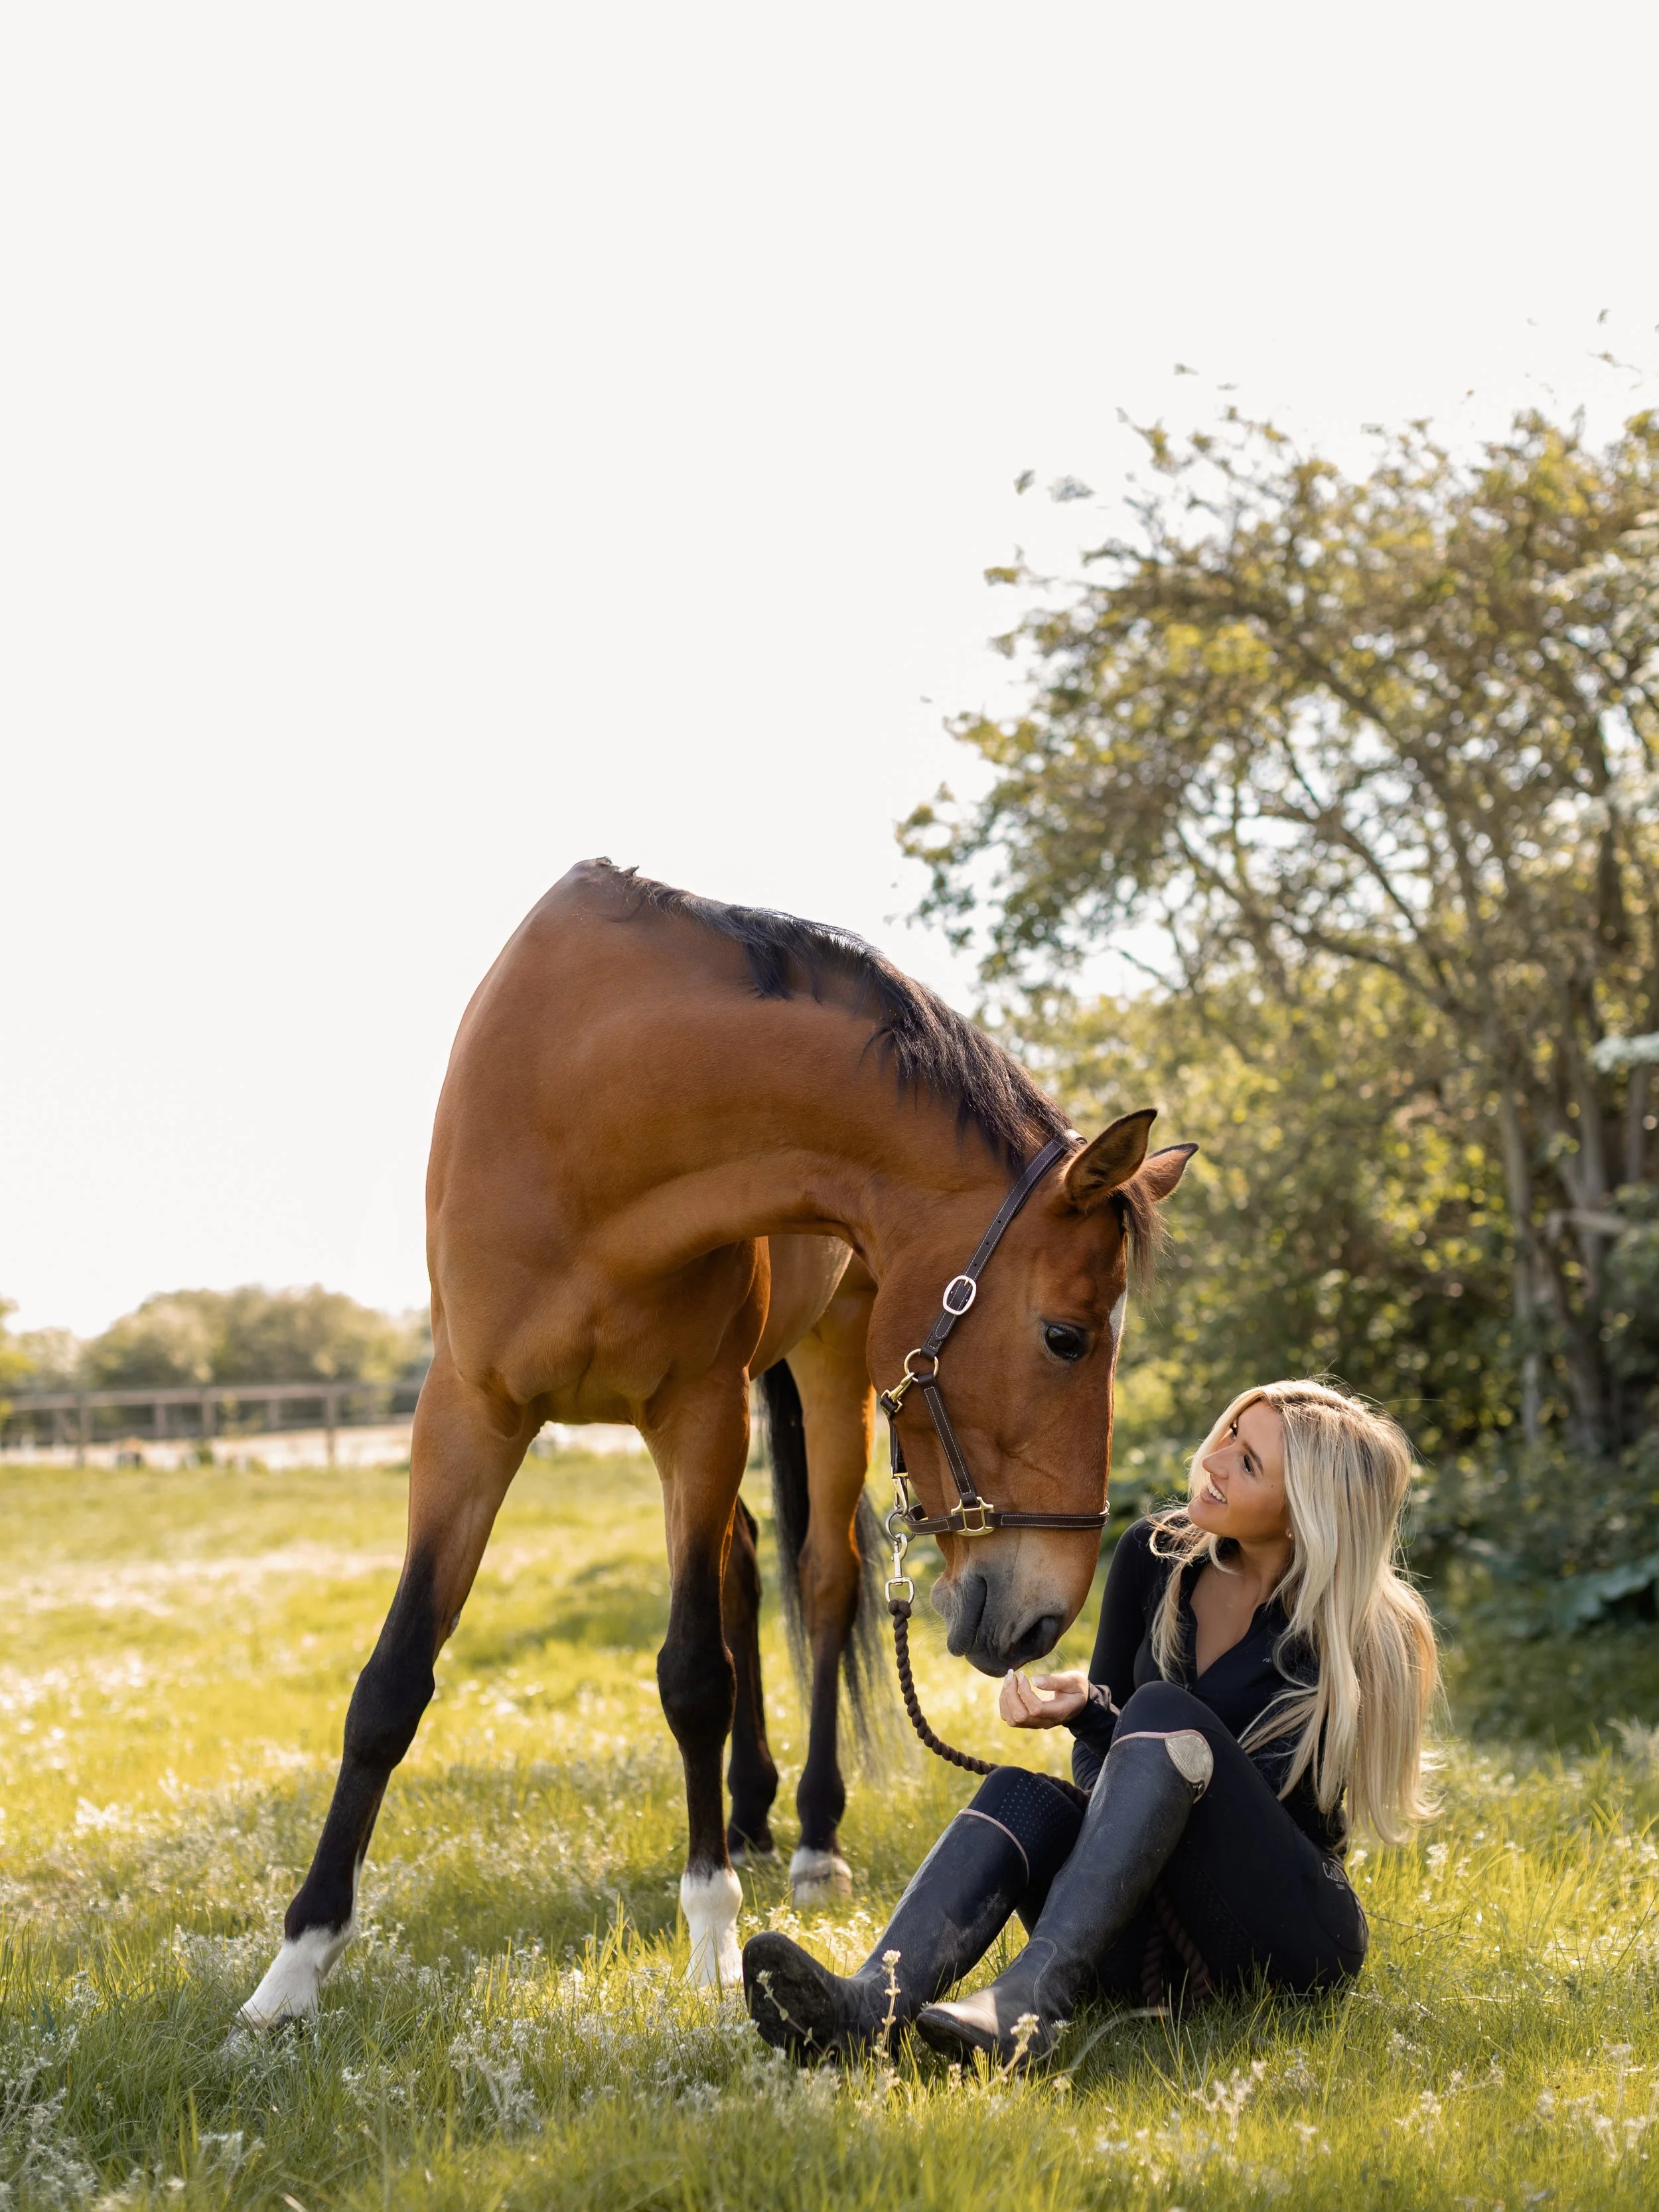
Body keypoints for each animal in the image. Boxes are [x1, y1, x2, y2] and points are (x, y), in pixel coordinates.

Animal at [237, 859, 1194, 2023]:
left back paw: (813, 1836)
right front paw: (294, 1968)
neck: (594, 1107)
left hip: (827, 1369)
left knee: (823, 1581)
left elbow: (694, 1674)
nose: (1047, 1611)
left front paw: (712, 1938)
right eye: (1065, 1337)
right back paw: (749, 1814)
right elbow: (392, 1682)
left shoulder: (698, 1413)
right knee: (745, 1565)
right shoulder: (468, 1414)